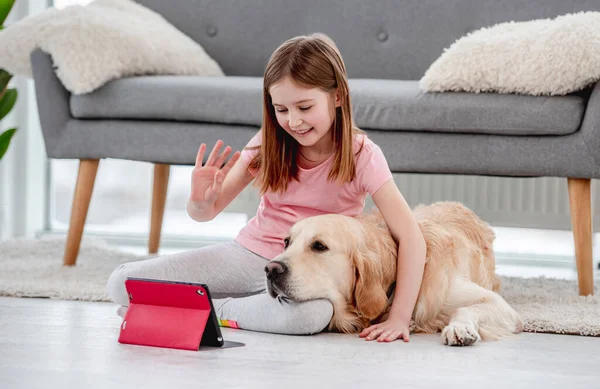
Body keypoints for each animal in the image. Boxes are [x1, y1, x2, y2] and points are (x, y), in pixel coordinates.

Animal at [264, 202, 524, 344]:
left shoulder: (500, 306)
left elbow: (464, 309)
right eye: (286, 242)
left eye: (319, 246)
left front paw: (459, 329)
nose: (270, 269)